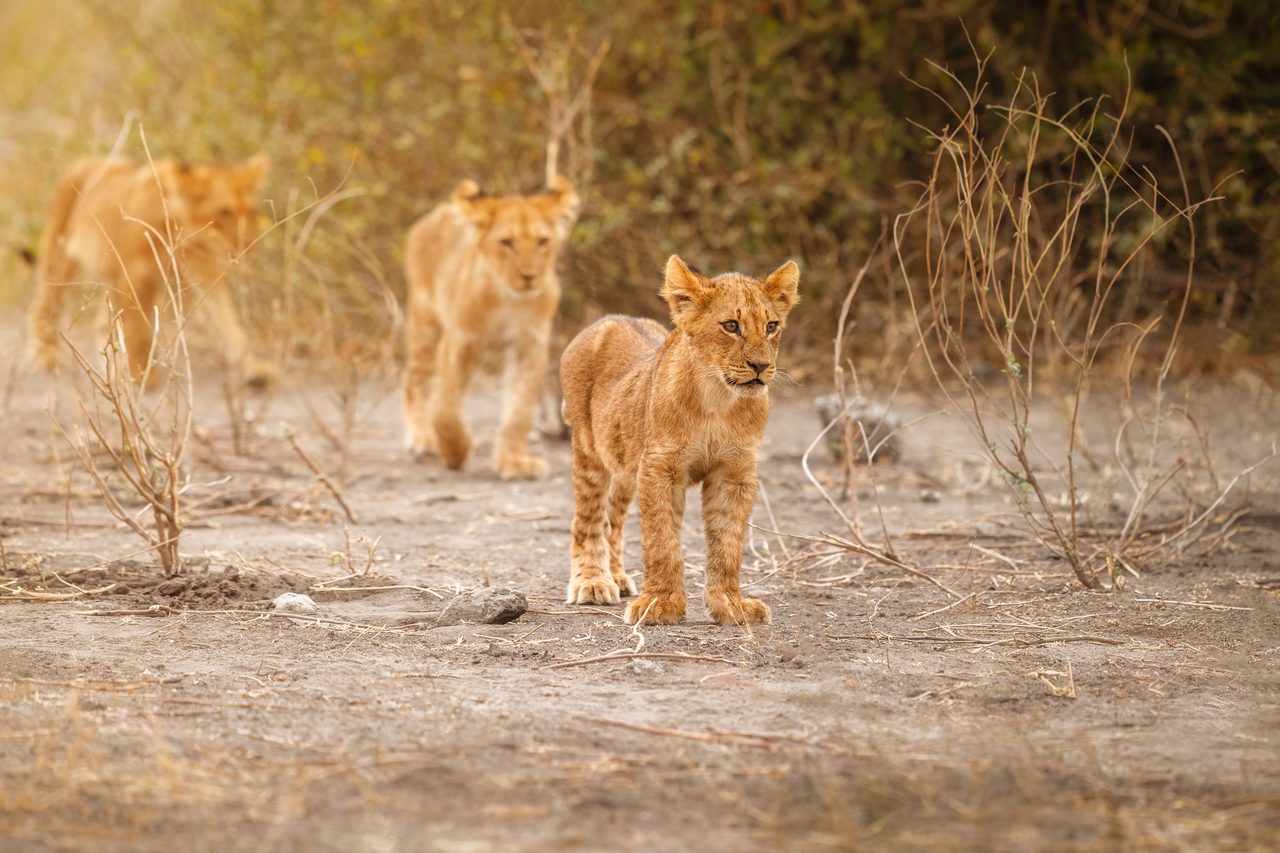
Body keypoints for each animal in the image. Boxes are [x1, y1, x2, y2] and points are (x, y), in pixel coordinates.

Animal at [401, 176, 579, 479]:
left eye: (542, 241)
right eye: (506, 242)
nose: (529, 277)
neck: (508, 300)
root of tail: (436, 212)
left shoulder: (529, 347)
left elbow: (519, 410)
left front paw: (515, 462)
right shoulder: (461, 341)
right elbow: (446, 407)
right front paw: (456, 452)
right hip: (425, 324)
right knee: (413, 379)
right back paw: (422, 438)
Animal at [559, 254, 800, 625]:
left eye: (772, 326)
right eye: (731, 326)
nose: (760, 365)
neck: (717, 401)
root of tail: (608, 319)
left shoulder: (735, 472)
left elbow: (728, 545)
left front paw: (731, 605)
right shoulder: (661, 467)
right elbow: (662, 541)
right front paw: (660, 604)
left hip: (624, 463)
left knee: (613, 520)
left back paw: (617, 577)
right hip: (589, 452)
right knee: (588, 519)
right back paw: (593, 582)